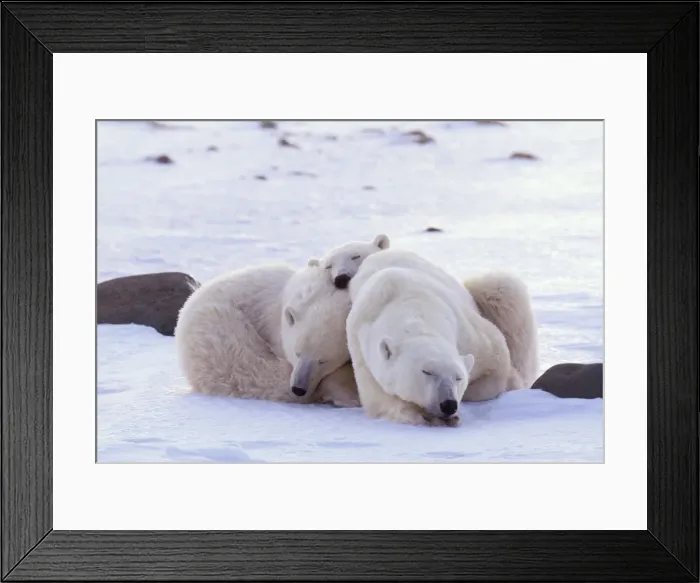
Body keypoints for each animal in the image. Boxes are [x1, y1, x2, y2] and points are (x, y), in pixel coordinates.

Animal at [346, 249, 516, 426]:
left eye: (459, 377)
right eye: (427, 372)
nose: (449, 404)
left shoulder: (466, 331)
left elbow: (497, 357)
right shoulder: (362, 350)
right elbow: (378, 400)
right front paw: (421, 414)